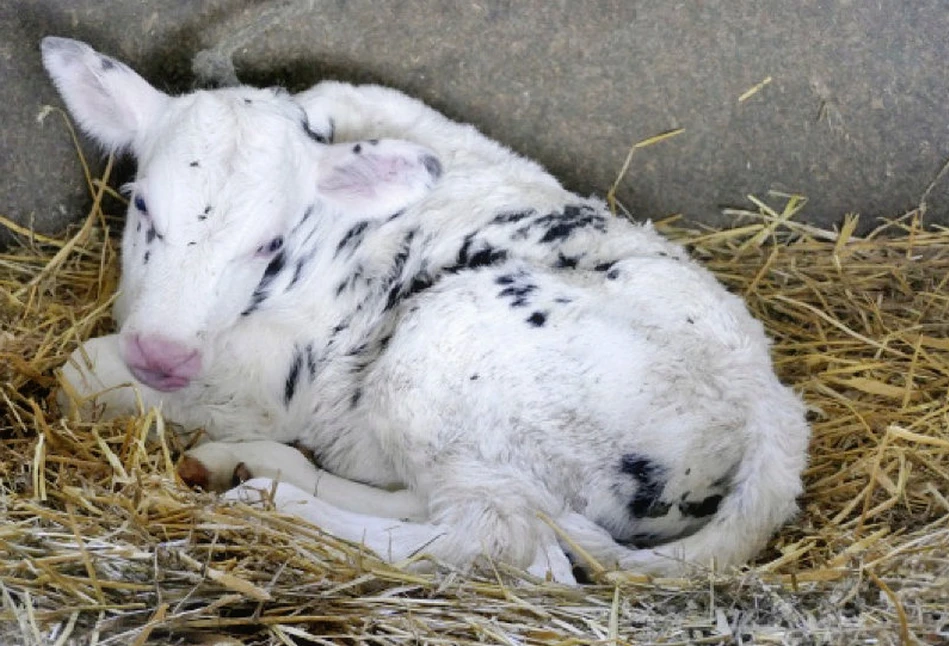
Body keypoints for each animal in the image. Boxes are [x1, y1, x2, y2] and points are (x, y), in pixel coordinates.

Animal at [48, 36, 812, 588]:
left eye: (268, 243)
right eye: (143, 206)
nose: (161, 354)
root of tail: (772, 407)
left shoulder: (268, 383)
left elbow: (80, 370)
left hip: (443, 351)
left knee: (508, 541)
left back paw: (264, 500)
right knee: (445, 501)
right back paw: (238, 467)